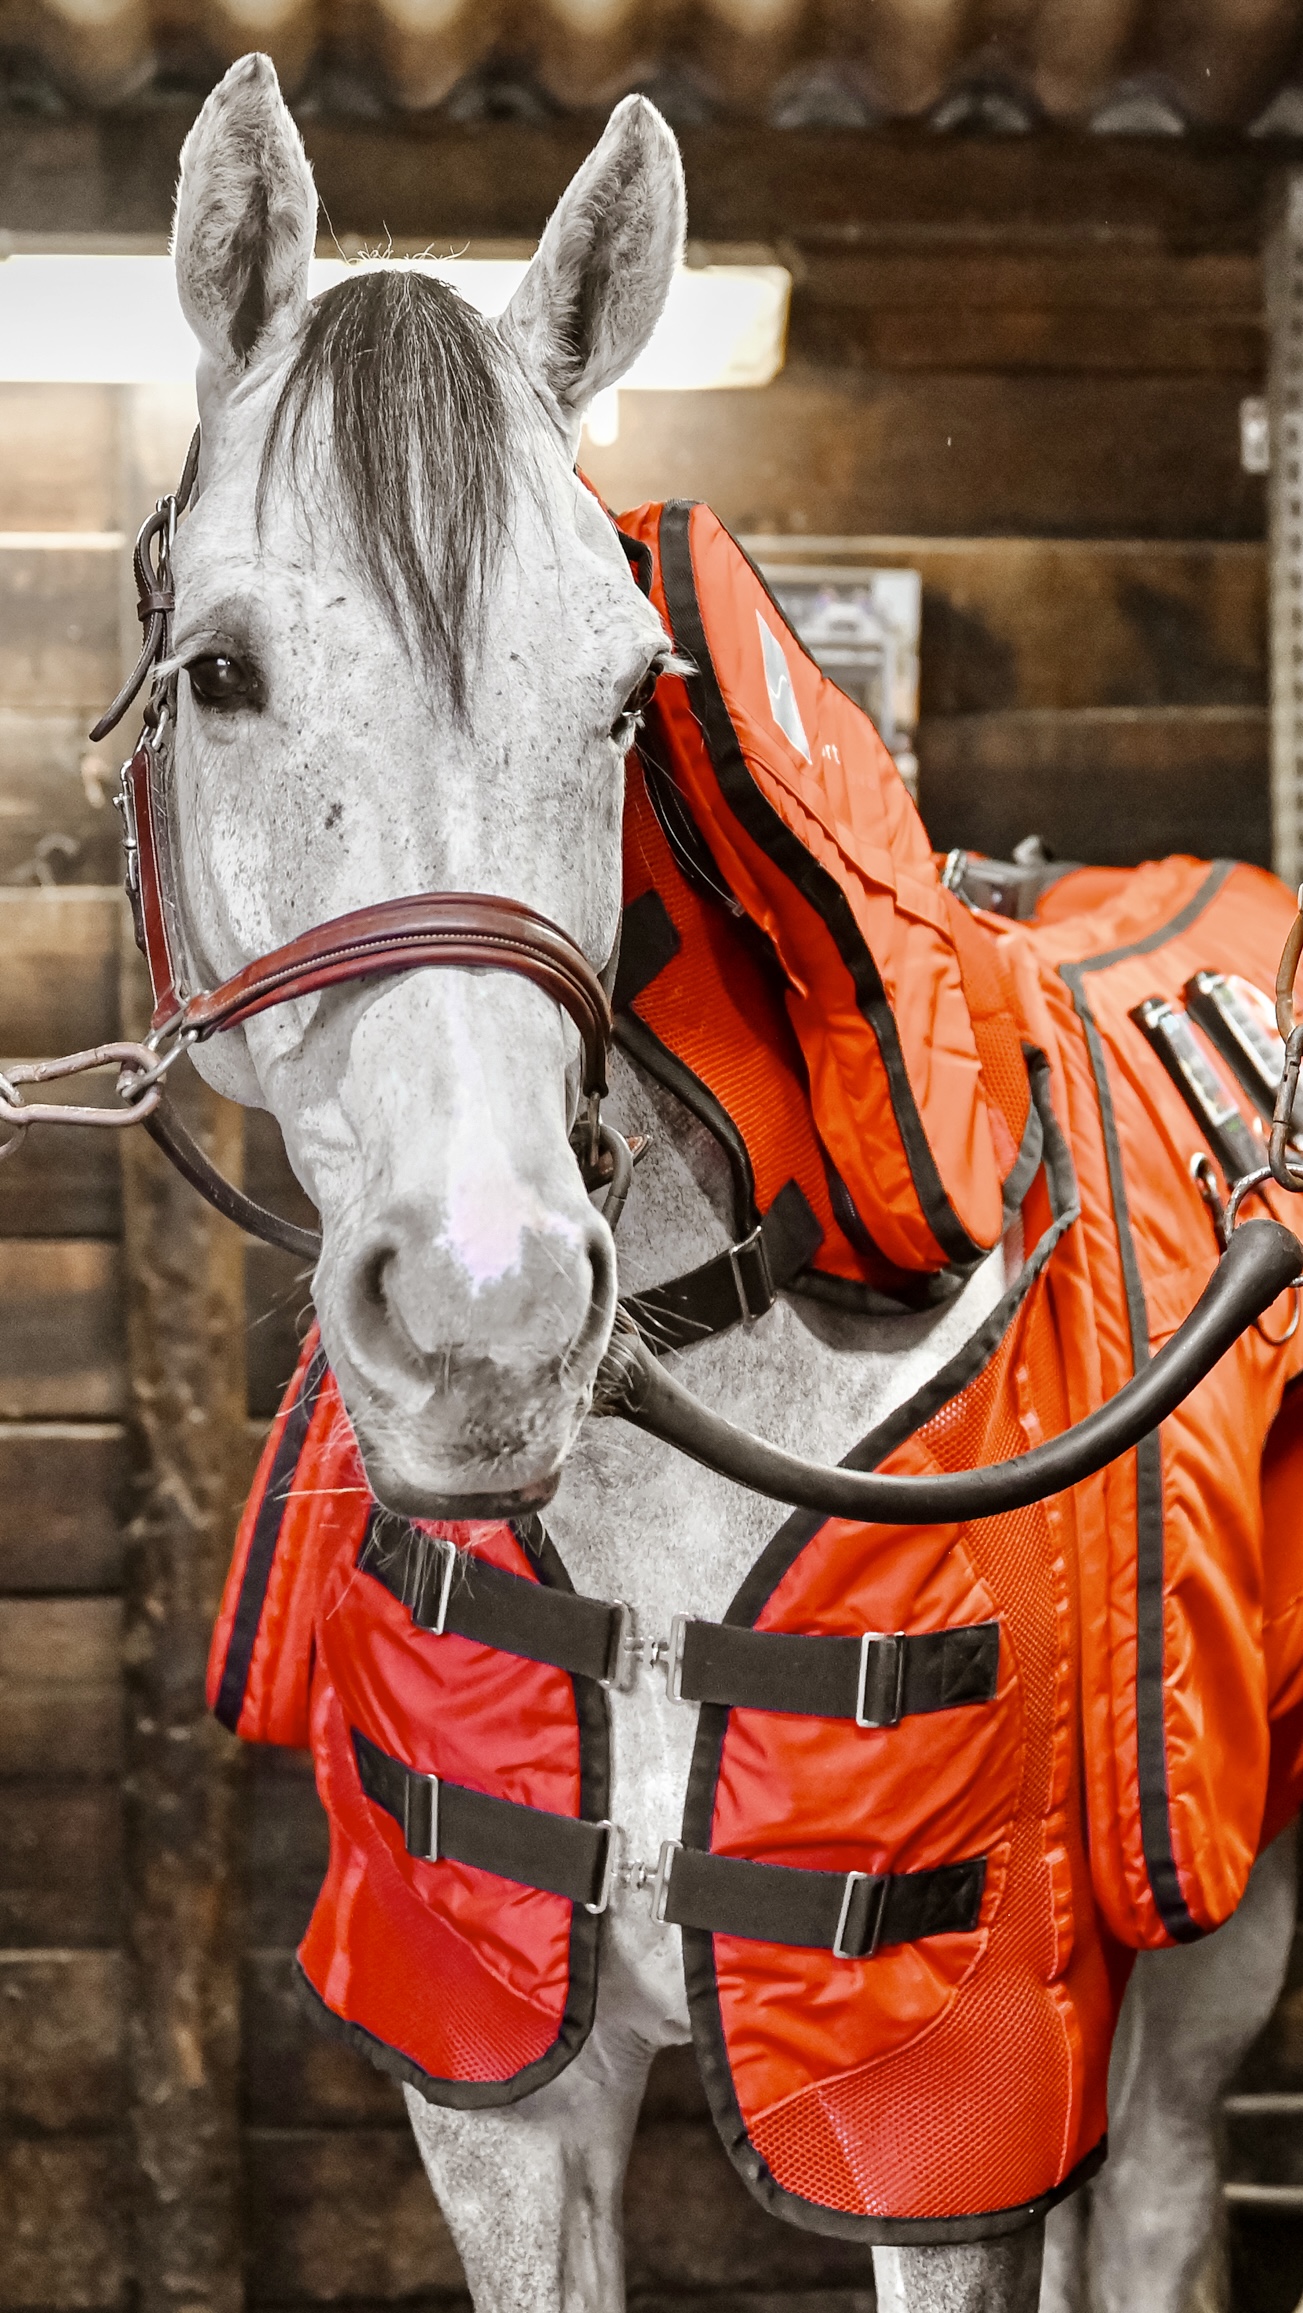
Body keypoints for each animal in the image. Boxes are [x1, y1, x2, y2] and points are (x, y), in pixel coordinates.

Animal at [151, 54, 1297, 2313]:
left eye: (627, 691)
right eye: (222, 670)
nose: (493, 1310)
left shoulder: (942, 2109)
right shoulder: (493, 2080)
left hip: (1219, 1949)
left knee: (1152, 2198)